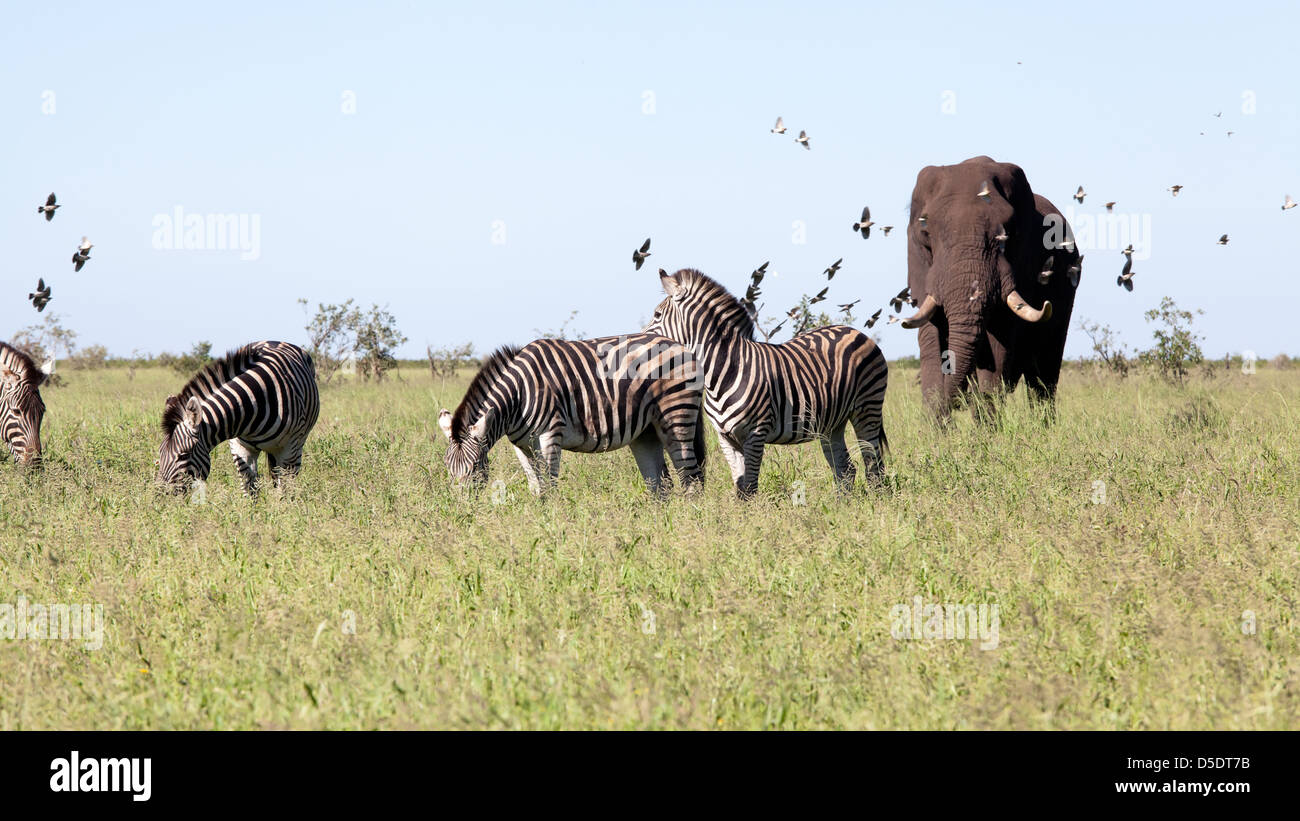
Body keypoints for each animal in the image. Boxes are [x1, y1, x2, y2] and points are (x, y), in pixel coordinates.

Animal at [156, 340, 319, 493]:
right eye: (160, 453)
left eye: (184, 455)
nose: (159, 495)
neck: (253, 403)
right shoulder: (239, 448)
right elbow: (249, 488)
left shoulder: (288, 449)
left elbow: (285, 489)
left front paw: (282, 505)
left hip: (296, 446)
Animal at [436, 332, 707, 493]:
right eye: (448, 468)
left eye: (475, 468)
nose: (463, 512)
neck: (518, 397)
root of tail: (680, 345)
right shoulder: (521, 446)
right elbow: (535, 486)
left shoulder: (549, 436)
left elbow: (549, 487)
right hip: (646, 432)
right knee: (661, 485)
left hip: (677, 415)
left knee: (690, 477)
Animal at [644, 268, 889, 496]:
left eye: (657, 314)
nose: (644, 342)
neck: (724, 372)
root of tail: (855, 331)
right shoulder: (726, 438)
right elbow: (740, 487)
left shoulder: (755, 434)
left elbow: (750, 487)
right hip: (832, 423)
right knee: (845, 469)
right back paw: (842, 506)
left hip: (867, 407)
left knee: (873, 465)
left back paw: (875, 504)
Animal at [899, 157, 1081, 420]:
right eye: (926, 232)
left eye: (1008, 232)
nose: (958, 400)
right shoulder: (920, 264)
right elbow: (930, 335)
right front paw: (937, 429)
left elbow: (999, 340)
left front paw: (986, 430)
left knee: (1043, 375)